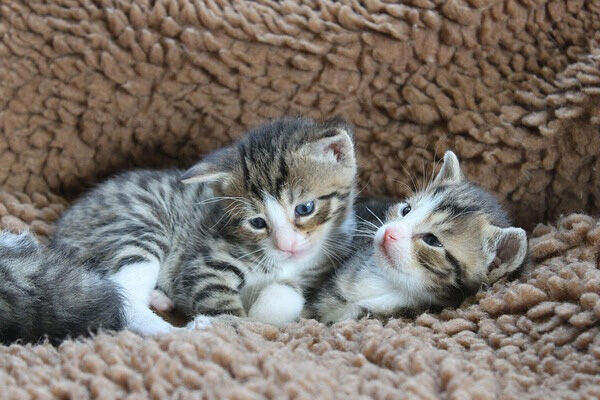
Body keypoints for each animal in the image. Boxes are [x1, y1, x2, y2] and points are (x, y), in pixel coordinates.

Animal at [0, 117, 358, 343]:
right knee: (120, 293)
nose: (287, 245)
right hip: (138, 228)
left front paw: (262, 311)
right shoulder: (204, 262)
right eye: (257, 222)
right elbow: (218, 299)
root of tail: (66, 225)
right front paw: (229, 324)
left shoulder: (311, 275)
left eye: (304, 209)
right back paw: (170, 331)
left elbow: (288, 296)